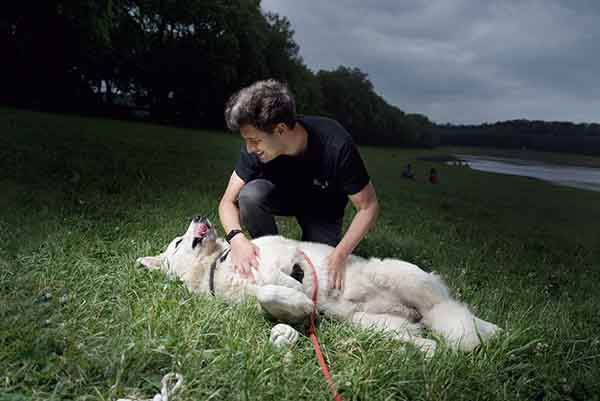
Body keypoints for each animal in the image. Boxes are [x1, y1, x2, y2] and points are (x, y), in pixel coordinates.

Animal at [138, 216, 500, 356]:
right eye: (177, 242)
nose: (200, 216)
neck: (220, 263)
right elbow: (269, 296)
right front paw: (301, 305)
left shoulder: (286, 255)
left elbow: (278, 279)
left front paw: (298, 292)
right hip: (373, 326)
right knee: (430, 340)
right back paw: (425, 352)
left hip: (402, 278)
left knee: (450, 312)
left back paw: (480, 333)